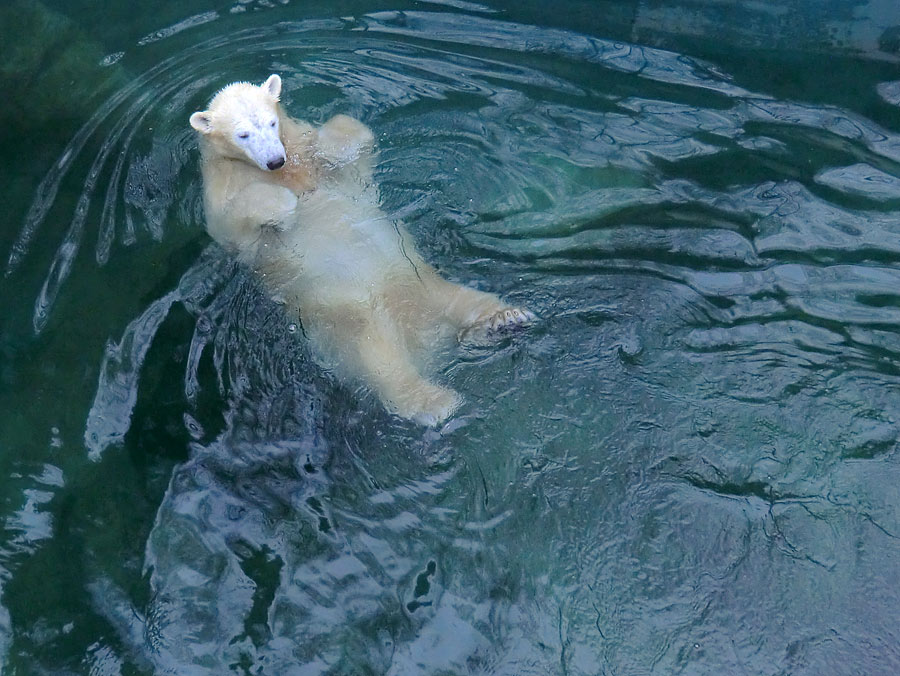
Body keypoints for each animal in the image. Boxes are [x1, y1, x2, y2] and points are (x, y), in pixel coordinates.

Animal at [186, 74, 532, 422]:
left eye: (271, 122)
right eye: (242, 134)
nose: (274, 160)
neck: (287, 172)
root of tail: (428, 341)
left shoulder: (311, 153)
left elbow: (353, 139)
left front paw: (329, 145)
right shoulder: (223, 188)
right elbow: (233, 224)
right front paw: (286, 207)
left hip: (422, 283)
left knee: (464, 300)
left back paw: (503, 319)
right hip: (351, 320)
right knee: (381, 362)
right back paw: (433, 402)